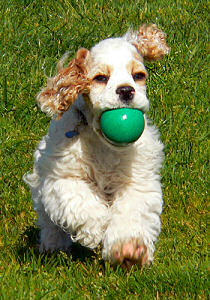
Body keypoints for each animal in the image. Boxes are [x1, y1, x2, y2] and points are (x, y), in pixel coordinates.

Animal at [23, 24, 169, 268]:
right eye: (100, 78)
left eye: (138, 76)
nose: (126, 90)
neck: (104, 144)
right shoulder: (60, 177)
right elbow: (80, 201)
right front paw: (95, 229)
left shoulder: (138, 180)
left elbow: (131, 212)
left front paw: (129, 249)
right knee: (50, 225)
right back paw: (53, 247)